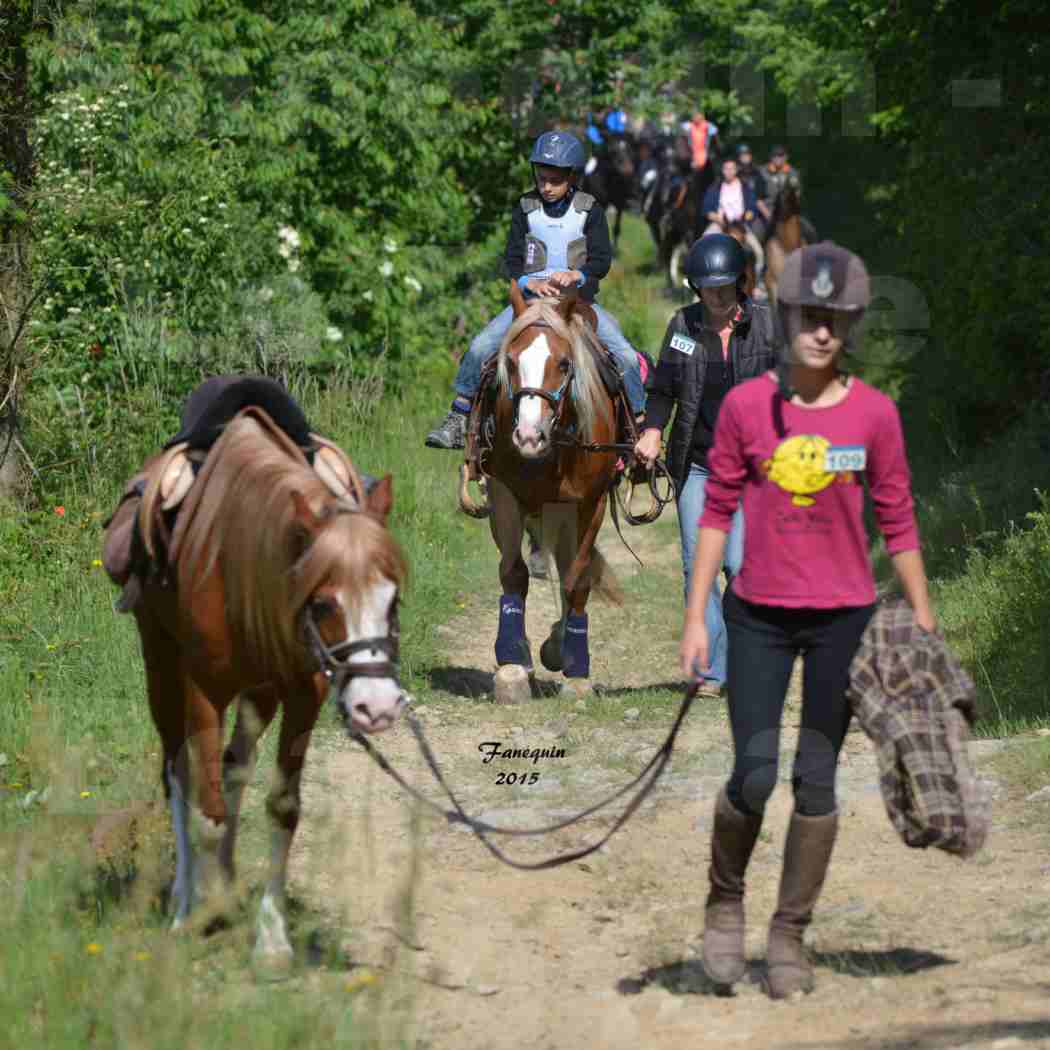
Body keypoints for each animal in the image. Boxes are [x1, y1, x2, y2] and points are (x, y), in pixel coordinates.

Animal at [118, 409, 405, 965]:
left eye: (393, 599)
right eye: (324, 603)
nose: (376, 707)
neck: (233, 557)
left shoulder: (302, 692)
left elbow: (282, 808)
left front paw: (271, 939)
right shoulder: (202, 692)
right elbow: (205, 812)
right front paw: (200, 916)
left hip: (260, 693)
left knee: (236, 768)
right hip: (160, 668)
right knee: (178, 774)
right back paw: (187, 898)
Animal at [461, 285, 621, 697]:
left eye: (564, 364)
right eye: (511, 362)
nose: (529, 436)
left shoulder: (590, 504)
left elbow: (577, 578)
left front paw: (575, 667)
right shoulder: (504, 495)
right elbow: (513, 573)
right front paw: (513, 662)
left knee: (567, 569)